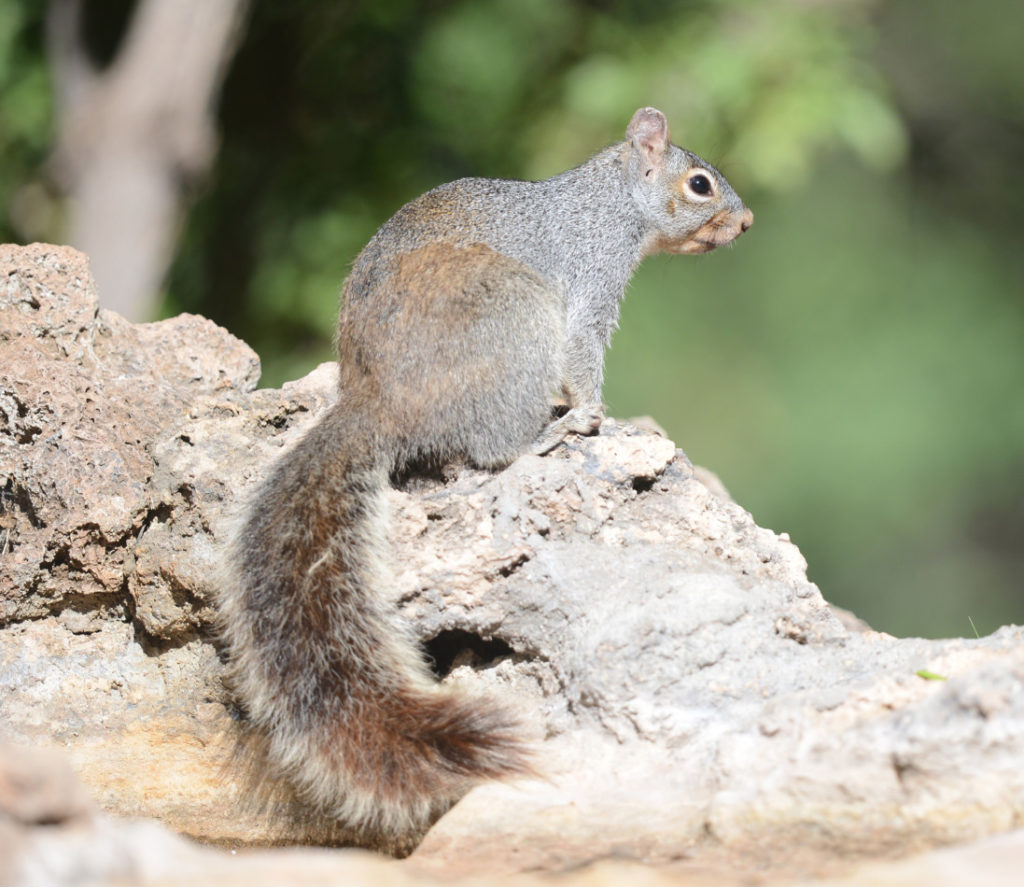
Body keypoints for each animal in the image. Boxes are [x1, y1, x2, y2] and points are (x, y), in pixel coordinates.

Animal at [220, 109, 753, 843]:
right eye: (700, 183)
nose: (748, 221)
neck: (609, 199)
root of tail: (378, 402)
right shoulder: (590, 277)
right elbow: (583, 353)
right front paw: (592, 414)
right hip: (514, 313)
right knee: (491, 448)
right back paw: (542, 439)